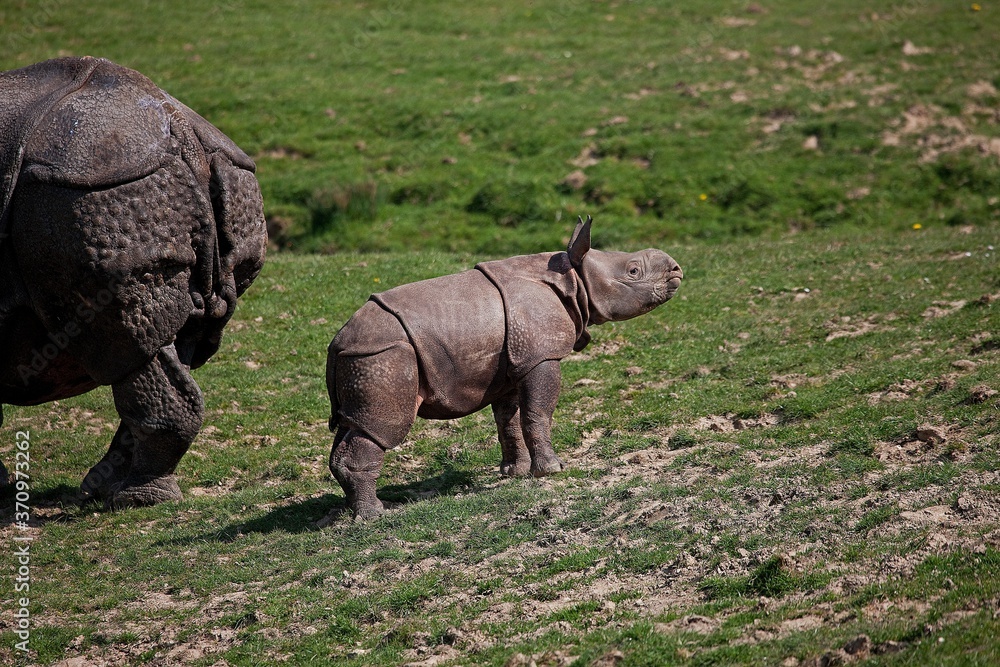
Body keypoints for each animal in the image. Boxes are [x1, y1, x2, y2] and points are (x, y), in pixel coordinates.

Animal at [0, 57, 267, 506]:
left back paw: (134, 499)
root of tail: (181, 130)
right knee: (170, 342)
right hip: (201, 177)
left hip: (88, 190)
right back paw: (107, 490)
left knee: (128, 343)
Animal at [326, 216, 682, 518]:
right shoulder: (541, 356)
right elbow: (538, 412)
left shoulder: (513, 363)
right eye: (633, 271)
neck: (573, 279)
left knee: (354, 423)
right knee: (382, 427)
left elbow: (509, 420)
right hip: (381, 356)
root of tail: (336, 344)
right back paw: (376, 515)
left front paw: (516, 472)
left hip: (361, 359)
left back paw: (354, 513)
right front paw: (551, 471)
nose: (677, 270)